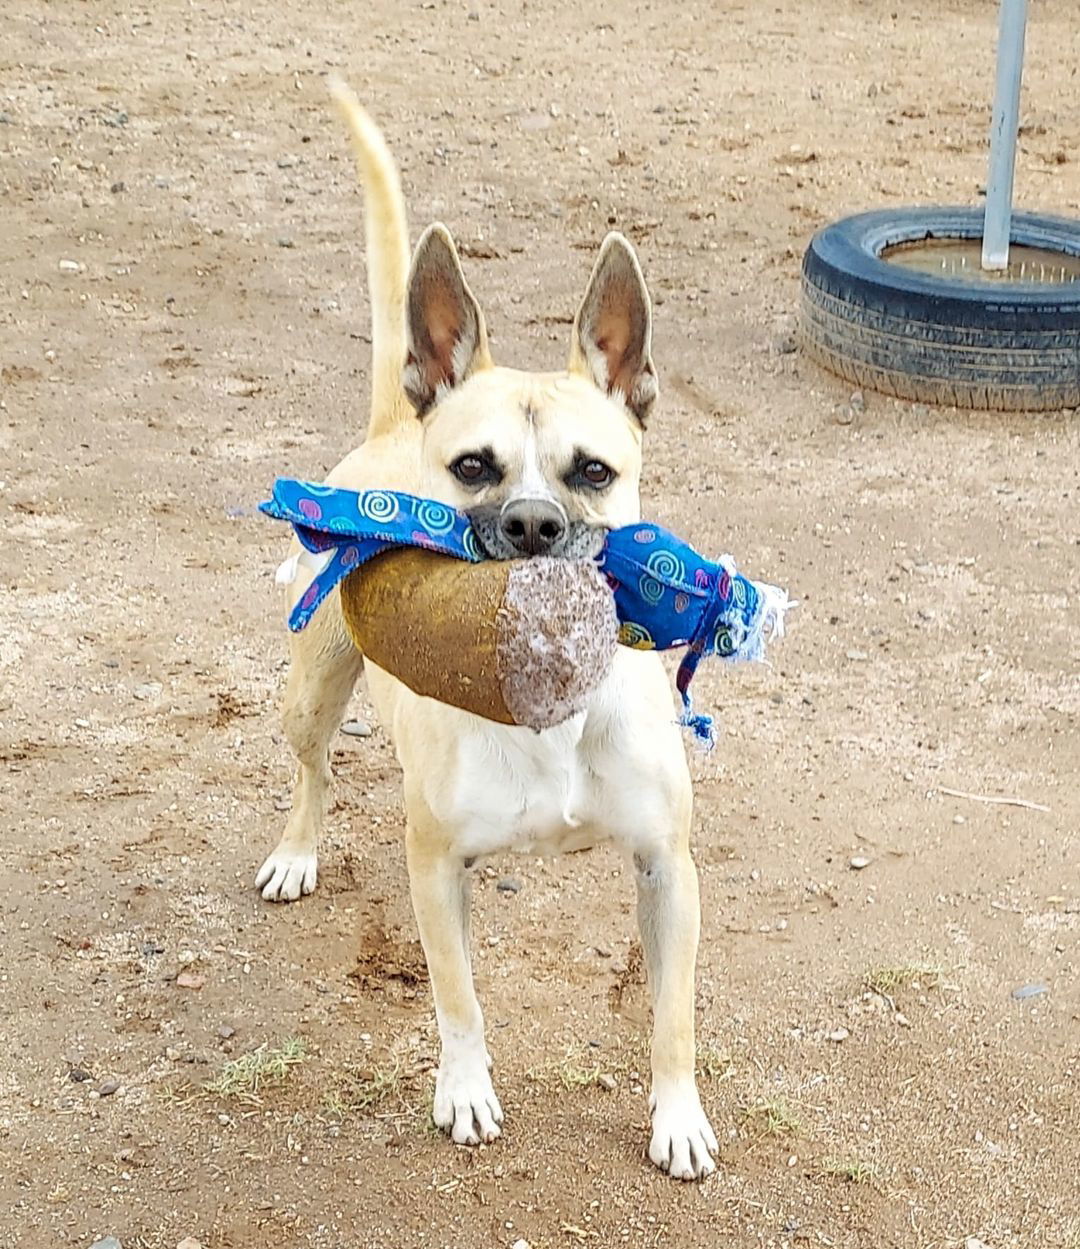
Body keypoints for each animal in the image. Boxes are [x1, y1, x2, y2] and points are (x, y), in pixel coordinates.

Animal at [254, 80, 714, 1179]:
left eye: (593, 470)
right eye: (473, 468)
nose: (534, 525)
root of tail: (396, 418)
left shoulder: (667, 872)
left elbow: (672, 1016)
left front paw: (677, 1116)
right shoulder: (434, 868)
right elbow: (457, 998)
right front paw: (464, 1091)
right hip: (311, 692)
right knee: (312, 770)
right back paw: (297, 851)